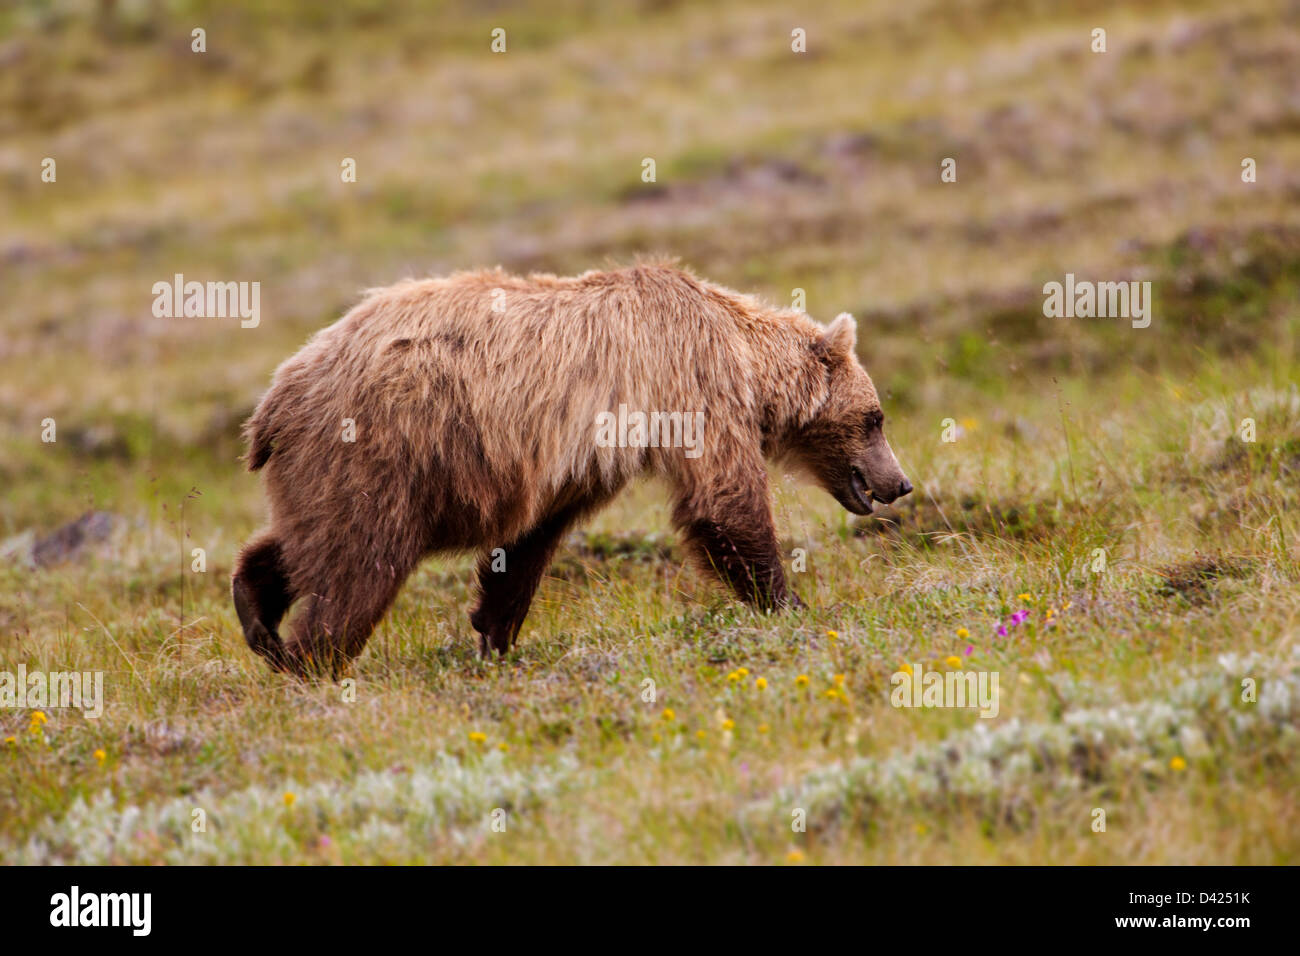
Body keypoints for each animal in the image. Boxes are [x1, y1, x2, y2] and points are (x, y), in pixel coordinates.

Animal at [228, 265, 909, 676]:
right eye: (875, 417)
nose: (899, 483)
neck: (744, 359)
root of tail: (275, 400)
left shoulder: (578, 461)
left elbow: (531, 541)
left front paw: (494, 629)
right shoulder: (692, 390)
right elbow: (724, 504)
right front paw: (789, 603)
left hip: (336, 465)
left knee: (308, 539)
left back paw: (258, 616)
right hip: (385, 449)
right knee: (361, 560)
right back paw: (311, 658)